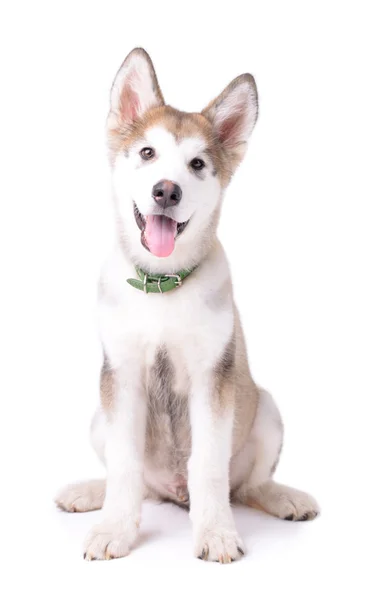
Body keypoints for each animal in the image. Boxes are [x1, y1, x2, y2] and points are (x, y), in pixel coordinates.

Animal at [55, 47, 316, 564]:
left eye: (197, 164)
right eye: (147, 153)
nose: (166, 191)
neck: (162, 286)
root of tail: (172, 493)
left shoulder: (213, 377)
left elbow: (210, 466)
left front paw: (216, 532)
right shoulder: (120, 375)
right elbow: (124, 466)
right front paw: (114, 527)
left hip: (265, 408)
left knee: (249, 484)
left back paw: (283, 497)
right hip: (99, 417)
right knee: (138, 483)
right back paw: (91, 492)